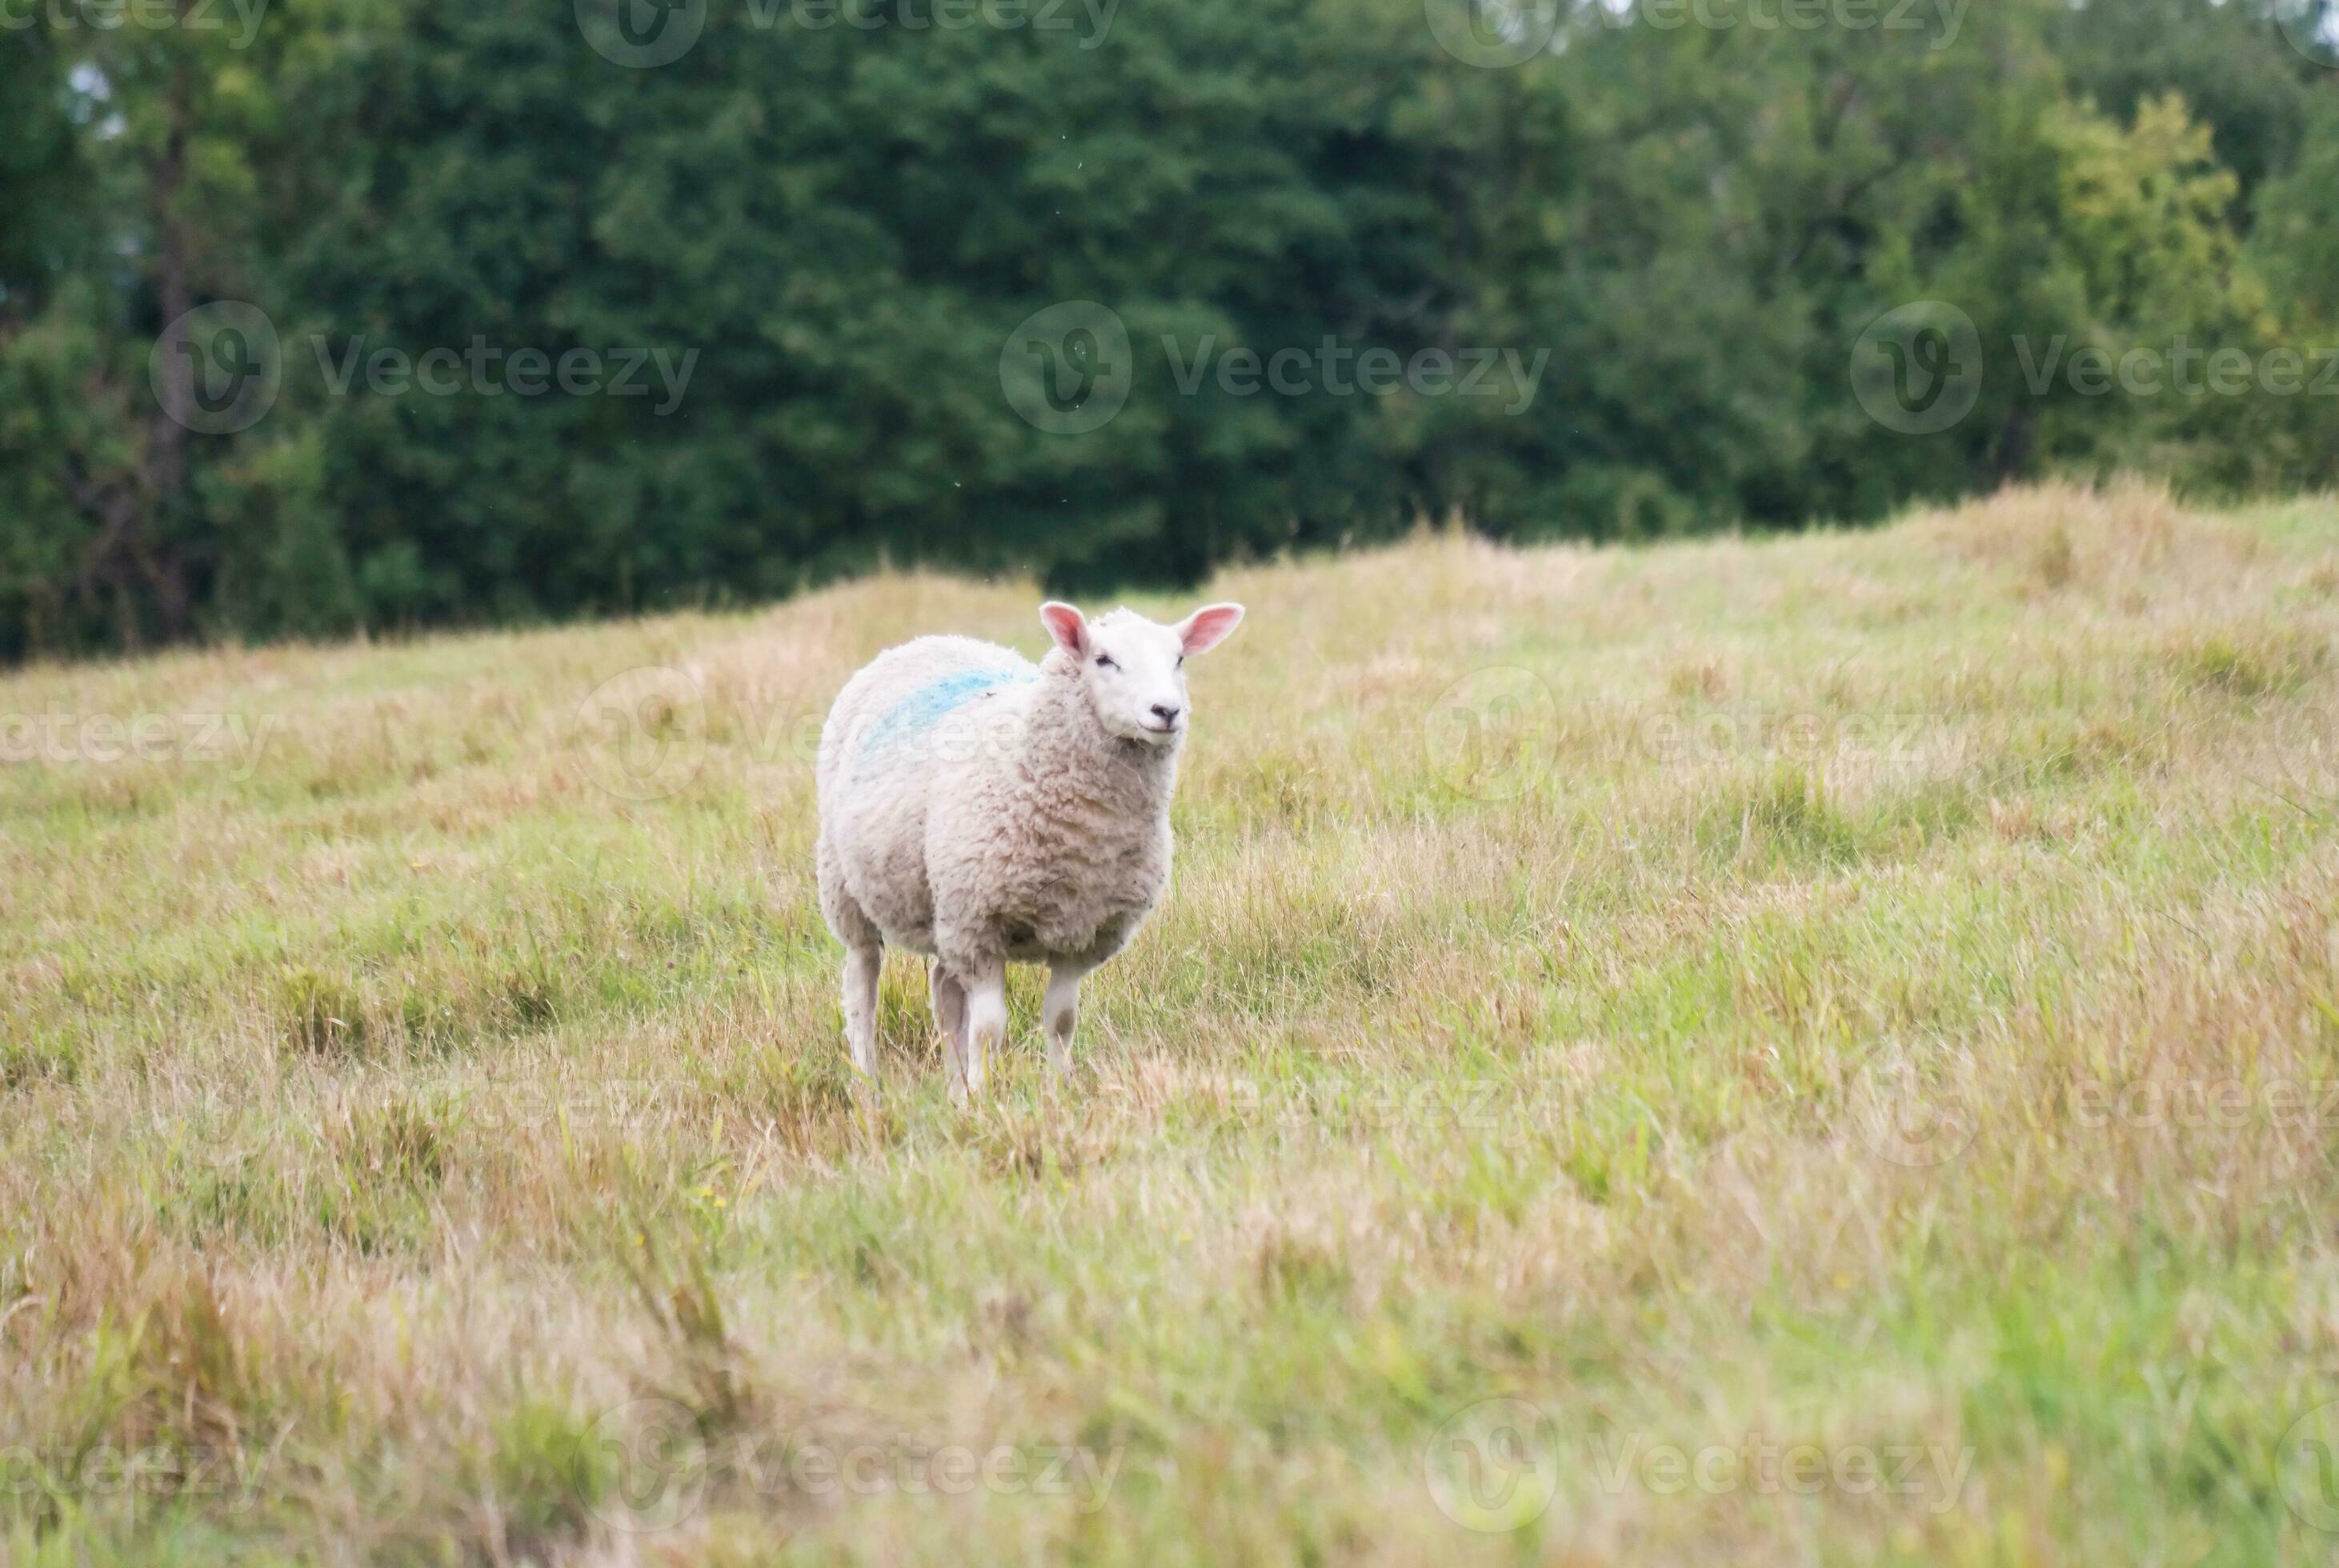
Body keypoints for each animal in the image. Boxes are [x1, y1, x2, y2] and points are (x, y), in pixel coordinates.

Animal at [814, 599, 1246, 1095]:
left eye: (1179, 660)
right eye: (1104, 660)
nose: (1167, 710)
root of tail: (926, 642)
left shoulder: (1083, 935)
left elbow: (1061, 1021)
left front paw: (1057, 1091)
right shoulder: (980, 926)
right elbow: (989, 1029)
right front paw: (986, 1097)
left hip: (944, 910)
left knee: (945, 993)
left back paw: (954, 1092)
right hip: (849, 890)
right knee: (861, 987)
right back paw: (868, 1085)